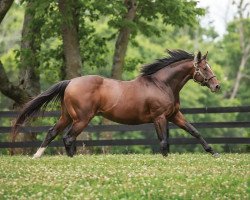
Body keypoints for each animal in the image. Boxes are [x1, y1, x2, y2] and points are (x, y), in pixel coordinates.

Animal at [12, 49, 221, 158]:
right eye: (204, 68)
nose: (217, 86)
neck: (162, 84)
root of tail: (70, 82)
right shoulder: (160, 117)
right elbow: (163, 140)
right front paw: (165, 159)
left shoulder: (174, 115)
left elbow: (195, 131)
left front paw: (213, 153)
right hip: (82, 119)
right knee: (68, 137)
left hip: (67, 116)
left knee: (52, 133)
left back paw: (37, 155)